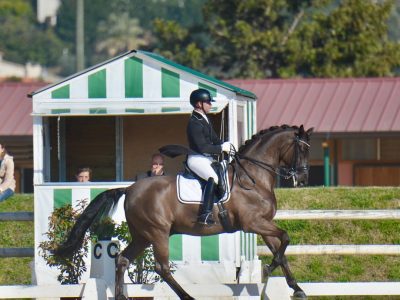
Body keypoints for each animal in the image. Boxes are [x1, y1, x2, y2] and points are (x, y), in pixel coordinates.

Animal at [55, 123, 312, 298]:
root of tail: (129, 188)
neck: (252, 177)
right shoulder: (253, 223)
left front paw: (296, 288)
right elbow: (285, 239)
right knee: (161, 267)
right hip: (157, 232)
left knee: (123, 259)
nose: (302, 178)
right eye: (301, 149)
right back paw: (187, 296)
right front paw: (270, 269)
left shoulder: (262, 224)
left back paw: (120, 296)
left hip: (142, 236)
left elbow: (281, 249)